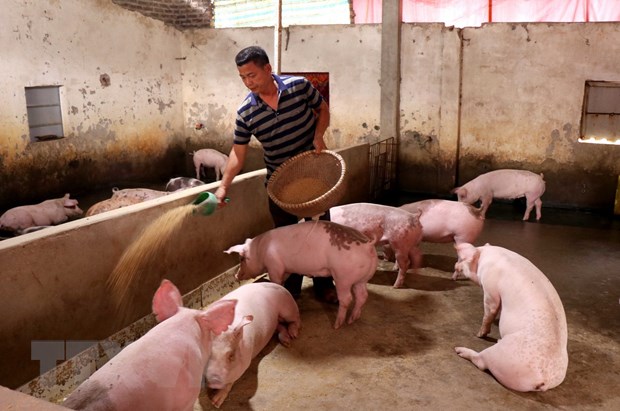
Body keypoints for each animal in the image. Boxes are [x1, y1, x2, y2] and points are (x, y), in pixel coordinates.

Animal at [224, 220, 378, 329]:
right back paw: (353, 319)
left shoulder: (274, 266)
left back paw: (337, 325)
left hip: (342, 276)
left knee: (347, 298)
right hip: (361, 278)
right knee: (362, 296)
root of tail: (368, 245)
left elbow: (276, 280)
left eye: (241, 259)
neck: (259, 251)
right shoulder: (286, 269)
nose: (236, 276)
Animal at [453, 243, 568, 392]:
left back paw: (459, 350)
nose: (455, 266)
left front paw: (479, 334)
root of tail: (544, 379)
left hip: (501, 357)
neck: (486, 256)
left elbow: (490, 311)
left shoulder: (490, 288)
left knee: (481, 361)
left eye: (462, 259)